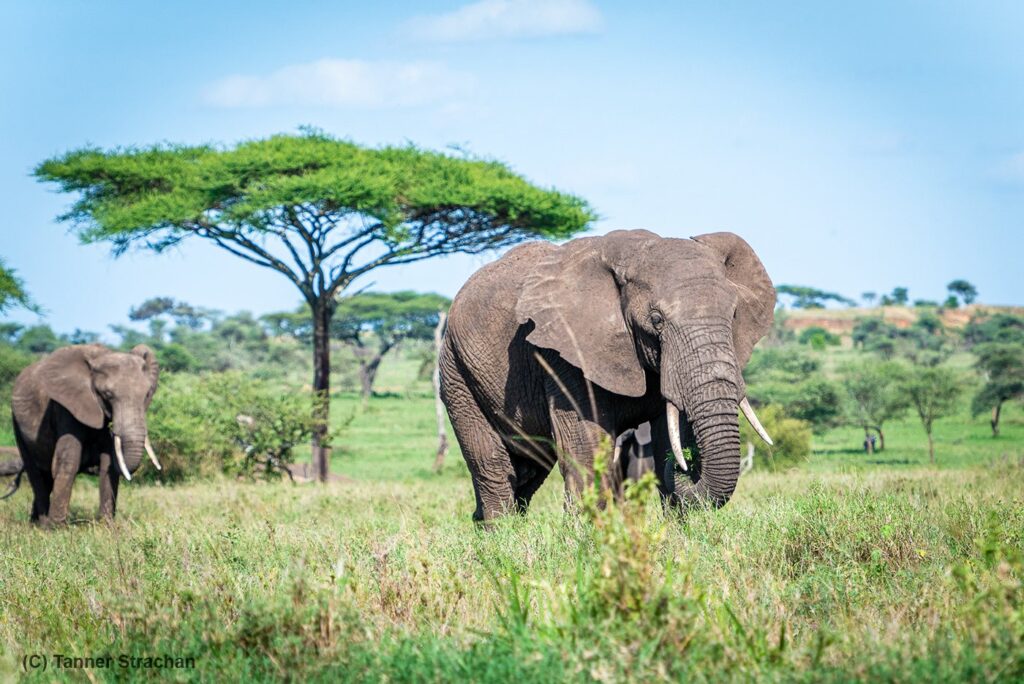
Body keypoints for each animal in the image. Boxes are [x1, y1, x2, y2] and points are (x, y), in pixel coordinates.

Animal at [6, 344, 161, 525]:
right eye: (107, 395)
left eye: (147, 394)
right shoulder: (66, 407)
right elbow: (69, 461)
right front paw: (57, 528)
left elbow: (107, 462)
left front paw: (107, 526)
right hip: (16, 423)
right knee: (36, 475)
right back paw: (42, 524)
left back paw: (34, 523)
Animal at [439, 230, 776, 523]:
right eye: (656, 320)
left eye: (734, 315)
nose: (688, 465)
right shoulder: (564, 352)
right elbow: (586, 448)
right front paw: (587, 542)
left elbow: (667, 437)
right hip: (456, 370)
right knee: (492, 463)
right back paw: (501, 537)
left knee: (529, 466)